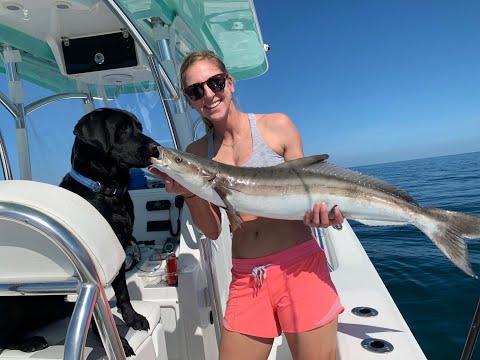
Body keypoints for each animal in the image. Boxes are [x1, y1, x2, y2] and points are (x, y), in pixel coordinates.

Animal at [0, 107, 160, 354]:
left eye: (139, 127)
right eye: (123, 128)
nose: (157, 148)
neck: (106, 190)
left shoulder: (118, 251)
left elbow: (123, 291)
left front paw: (132, 318)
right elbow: (97, 312)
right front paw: (117, 342)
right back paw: (29, 341)